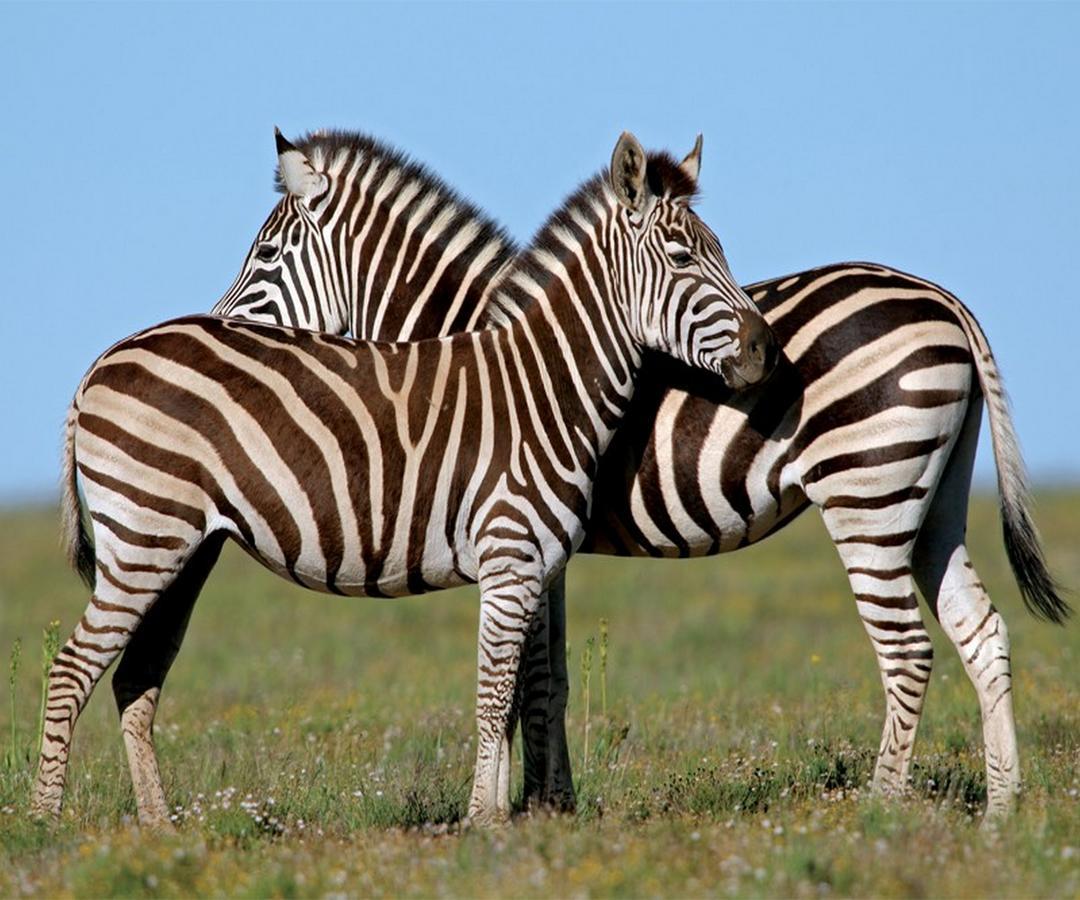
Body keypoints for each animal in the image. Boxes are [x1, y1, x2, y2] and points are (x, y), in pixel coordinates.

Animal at [31, 131, 777, 829]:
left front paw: (512, 811)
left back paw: (159, 830)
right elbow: (498, 694)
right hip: (145, 537)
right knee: (71, 669)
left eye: (718, 251)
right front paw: (489, 820)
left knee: (135, 674)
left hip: (179, 548)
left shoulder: (539, 565)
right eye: (683, 258)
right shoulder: (512, 558)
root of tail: (102, 360)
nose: (763, 350)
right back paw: (45, 824)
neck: (543, 381)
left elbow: (526, 688)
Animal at [204, 126, 1071, 821]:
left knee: (908, 651)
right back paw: (1002, 811)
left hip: (868, 490)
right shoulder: (536, 539)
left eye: (266, 254)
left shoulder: (520, 528)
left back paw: (879, 812)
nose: (214, 331)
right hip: (932, 498)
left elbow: (528, 679)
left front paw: (529, 806)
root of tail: (944, 299)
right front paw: (550, 803)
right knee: (981, 632)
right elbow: (546, 678)